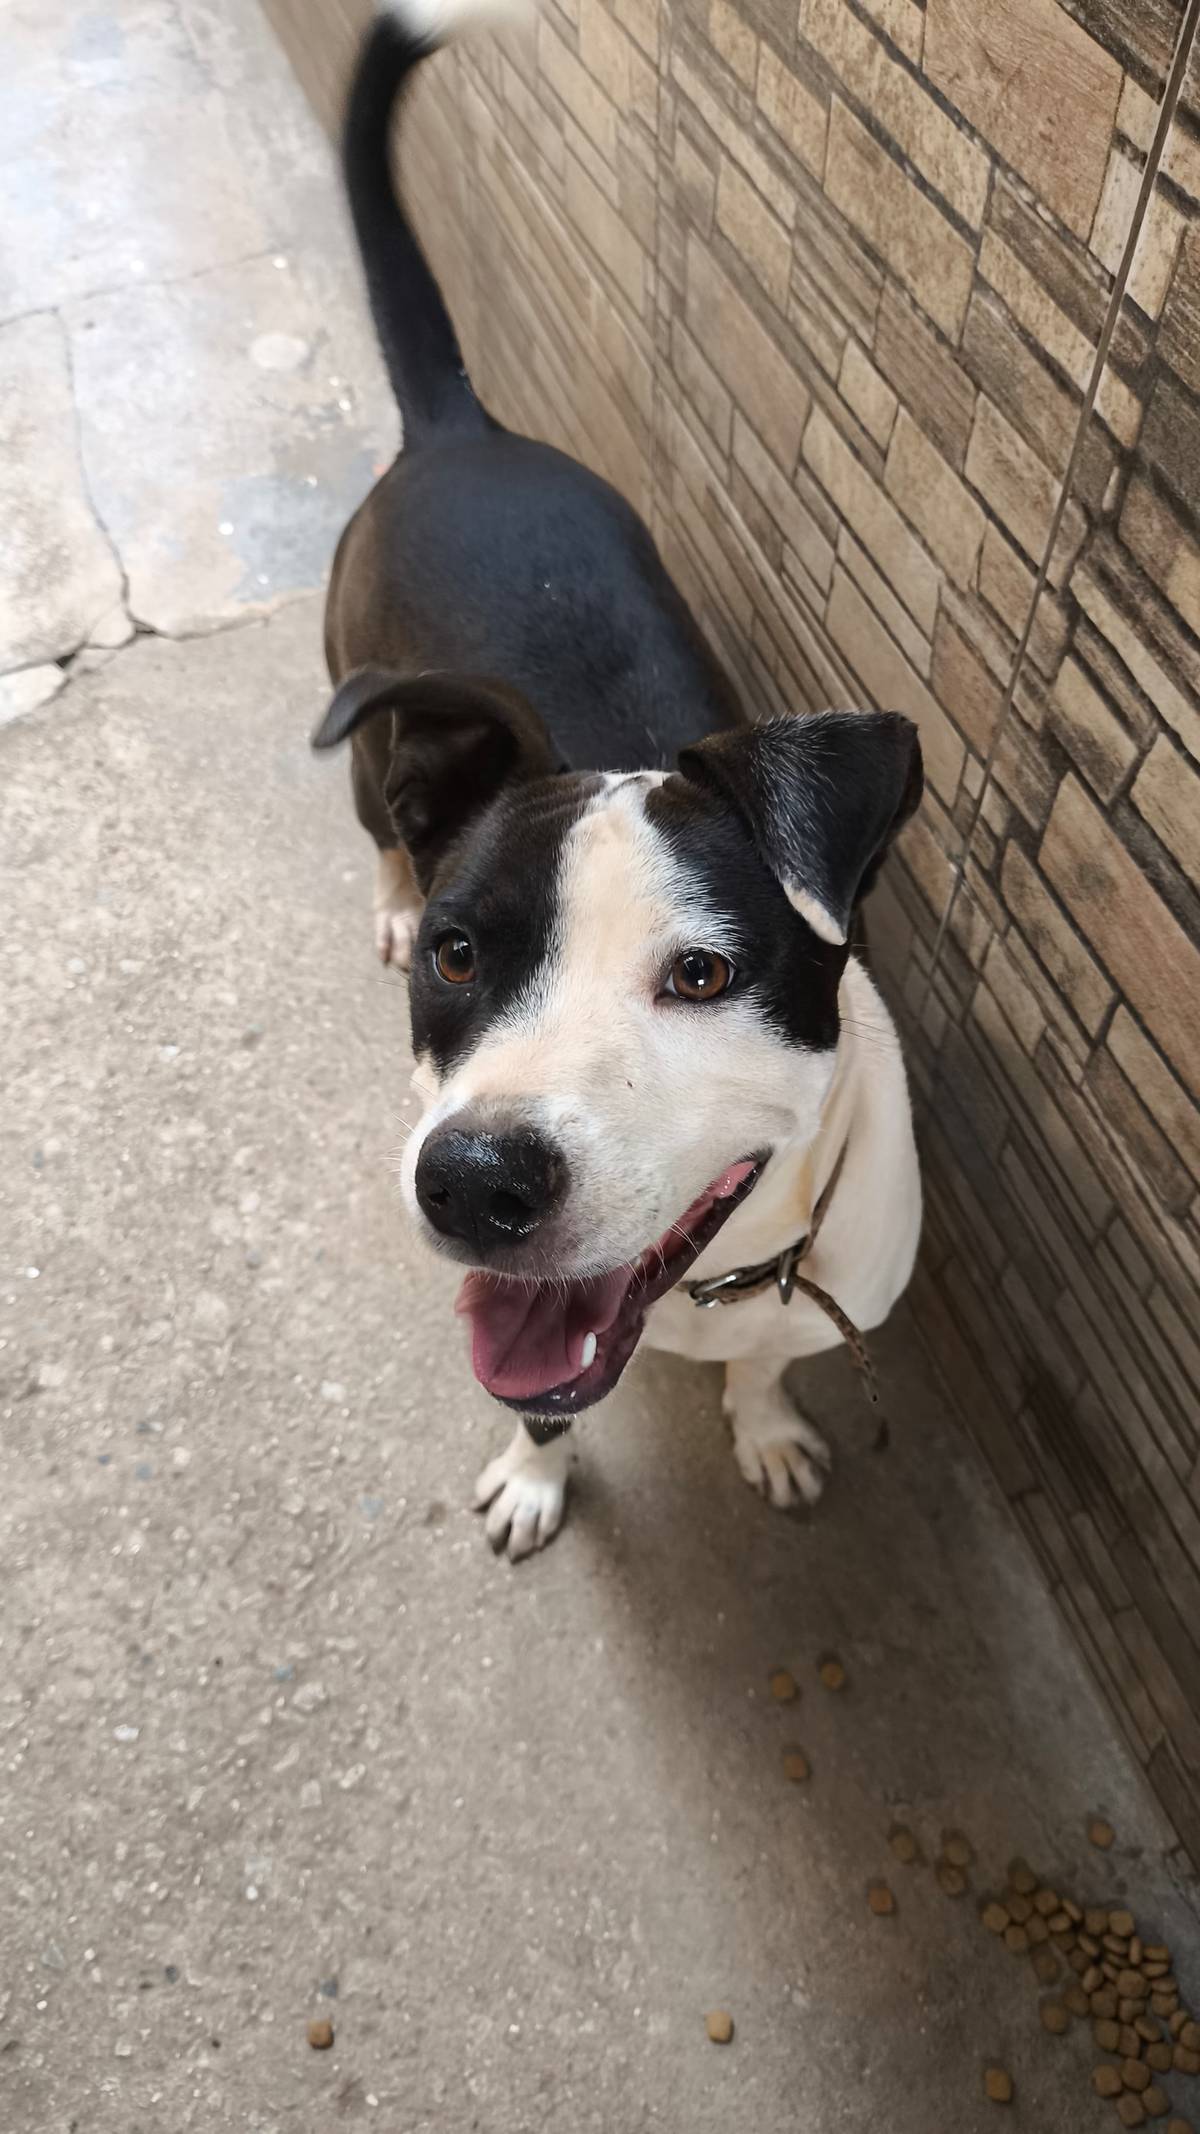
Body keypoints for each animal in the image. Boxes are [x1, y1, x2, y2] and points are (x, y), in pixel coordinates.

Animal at [314, 0, 925, 1560]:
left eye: (703, 974)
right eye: (462, 956)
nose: (472, 1180)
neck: (706, 1282)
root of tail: (460, 429)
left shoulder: (796, 1303)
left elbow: (766, 1366)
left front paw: (763, 1427)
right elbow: (540, 1401)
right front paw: (535, 1479)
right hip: (362, 722)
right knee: (377, 816)